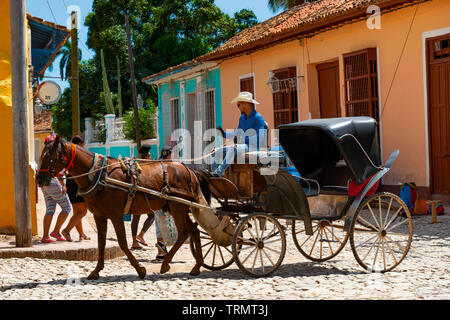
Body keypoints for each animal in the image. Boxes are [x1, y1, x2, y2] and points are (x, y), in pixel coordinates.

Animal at [35, 136, 207, 280]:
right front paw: (96, 271)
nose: (39, 179)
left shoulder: (116, 215)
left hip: (178, 207)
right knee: (194, 231)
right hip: (178, 208)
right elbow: (101, 242)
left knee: (184, 233)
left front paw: (140, 270)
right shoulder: (99, 215)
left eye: (50, 157)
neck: (98, 175)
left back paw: (166, 264)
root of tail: (188, 170)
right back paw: (197, 266)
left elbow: (123, 243)